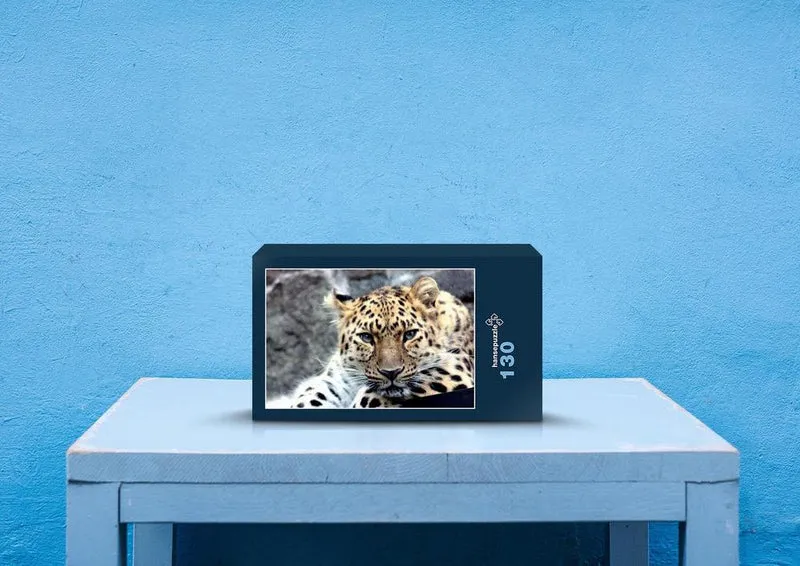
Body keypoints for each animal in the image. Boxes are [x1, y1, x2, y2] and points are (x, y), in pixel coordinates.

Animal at [286, 275, 474, 409]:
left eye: (410, 334)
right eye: (366, 337)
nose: (391, 372)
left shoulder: (454, 371)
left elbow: (368, 398)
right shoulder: (336, 378)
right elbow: (310, 396)